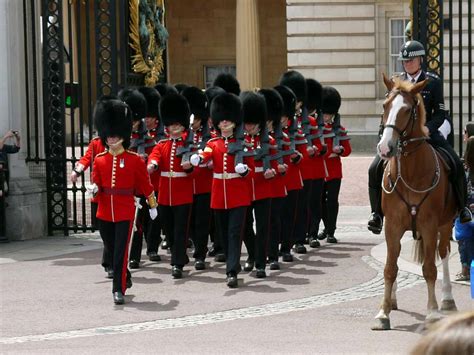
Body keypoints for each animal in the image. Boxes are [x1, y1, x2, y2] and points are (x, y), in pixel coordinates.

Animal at [372, 74, 458, 330]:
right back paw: (392, 299)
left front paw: (432, 312)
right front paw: (383, 312)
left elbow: (429, 269)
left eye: (407, 109)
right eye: (385, 105)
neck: (410, 172)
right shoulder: (392, 225)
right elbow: (390, 268)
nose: (385, 148)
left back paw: (447, 298)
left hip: (446, 224)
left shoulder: (429, 225)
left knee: (443, 253)